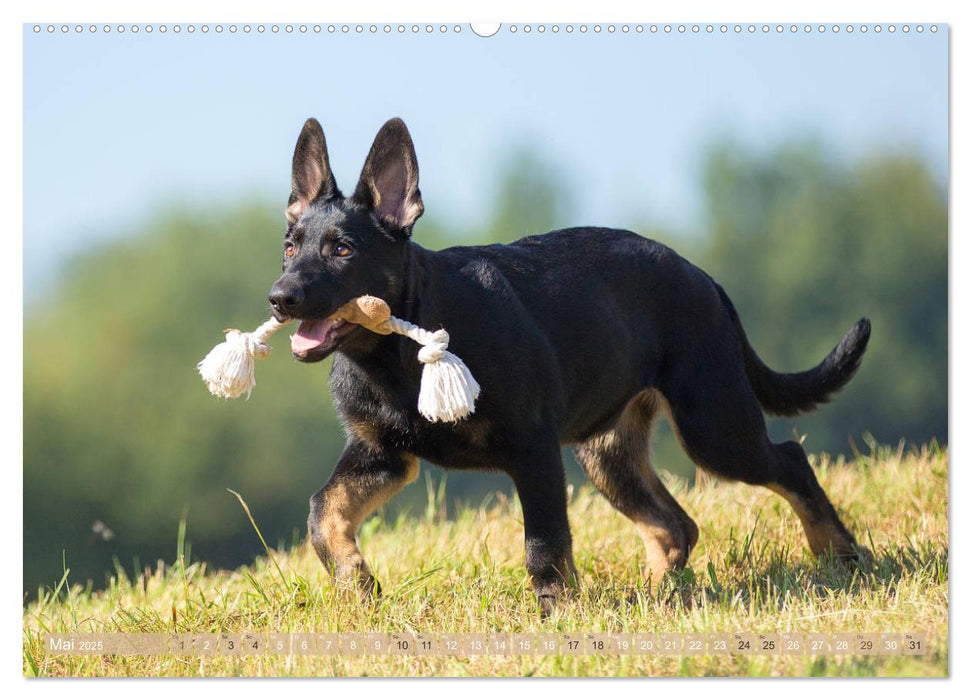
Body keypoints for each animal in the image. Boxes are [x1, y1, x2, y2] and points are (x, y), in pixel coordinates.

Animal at [268, 116, 872, 612]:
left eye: (343, 250)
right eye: (290, 247)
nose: (279, 298)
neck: (394, 355)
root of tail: (704, 279)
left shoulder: (532, 450)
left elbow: (544, 543)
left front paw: (557, 614)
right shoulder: (382, 454)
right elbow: (323, 511)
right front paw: (356, 584)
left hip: (715, 429)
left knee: (789, 461)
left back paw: (842, 558)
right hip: (607, 454)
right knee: (676, 525)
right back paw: (656, 597)